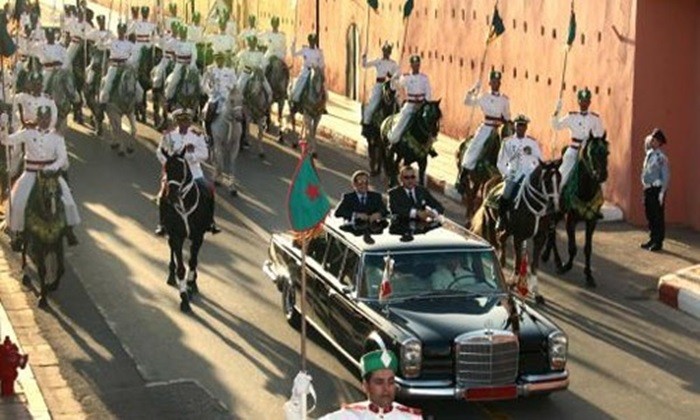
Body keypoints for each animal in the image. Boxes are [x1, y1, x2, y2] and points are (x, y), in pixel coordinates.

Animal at [21, 171, 66, 308]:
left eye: (58, 192)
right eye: (46, 192)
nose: (53, 213)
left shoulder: (58, 244)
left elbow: (61, 268)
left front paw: (51, 286)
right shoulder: (38, 244)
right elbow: (42, 270)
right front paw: (43, 298)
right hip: (27, 236)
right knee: (24, 249)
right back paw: (24, 270)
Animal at [162, 148, 215, 312]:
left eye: (181, 170)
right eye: (166, 168)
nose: (171, 196)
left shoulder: (198, 236)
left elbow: (193, 261)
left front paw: (191, 285)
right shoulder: (176, 235)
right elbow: (181, 267)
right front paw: (184, 297)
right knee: (172, 250)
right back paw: (171, 275)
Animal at [540, 133, 608, 288]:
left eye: (607, 152)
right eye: (591, 152)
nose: (602, 175)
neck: (585, 190)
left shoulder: (591, 221)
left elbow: (588, 249)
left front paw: (589, 275)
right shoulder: (570, 219)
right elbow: (572, 247)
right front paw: (566, 266)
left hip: (558, 214)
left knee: (551, 232)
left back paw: (547, 254)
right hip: (554, 213)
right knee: (552, 233)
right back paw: (557, 262)